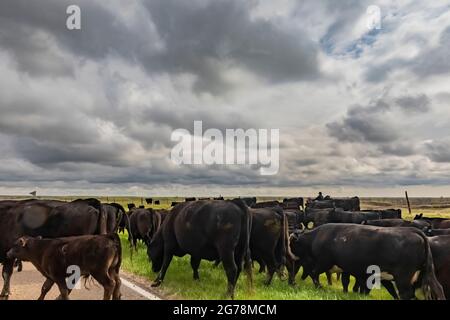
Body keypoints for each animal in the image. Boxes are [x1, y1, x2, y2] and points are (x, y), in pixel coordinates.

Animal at [290, 225, 444, 300]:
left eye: (292, 244)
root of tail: (413, 231)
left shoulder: (324, 261)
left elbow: (314, 273)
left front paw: (319, 287)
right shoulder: (351, 270)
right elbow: (351, 283)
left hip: (404, 277)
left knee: (406, 294)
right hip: (423, 273)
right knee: (436, 289)